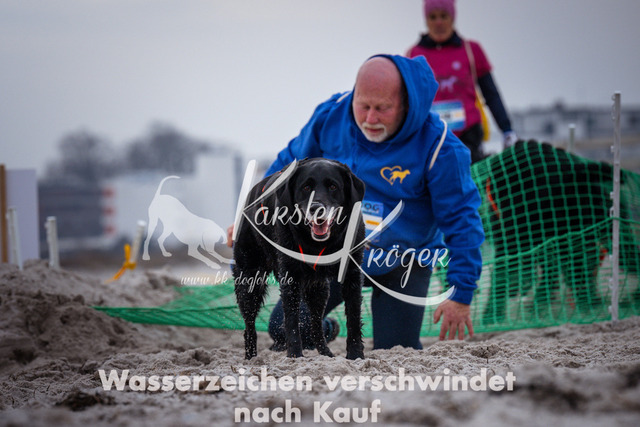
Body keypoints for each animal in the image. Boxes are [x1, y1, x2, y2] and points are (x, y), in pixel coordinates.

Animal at [233, 158, 366, 360]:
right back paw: (251, 357)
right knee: (249, 325)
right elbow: (292, 320)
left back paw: (326, 354)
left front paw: (356, 355)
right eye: (306, 187)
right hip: (249, 281)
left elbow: (353, 317)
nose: (316, 208)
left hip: (319, 289)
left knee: (316, 324)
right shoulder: (290, 276)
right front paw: (295, 355)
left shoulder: (352, 273)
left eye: (333, 186)